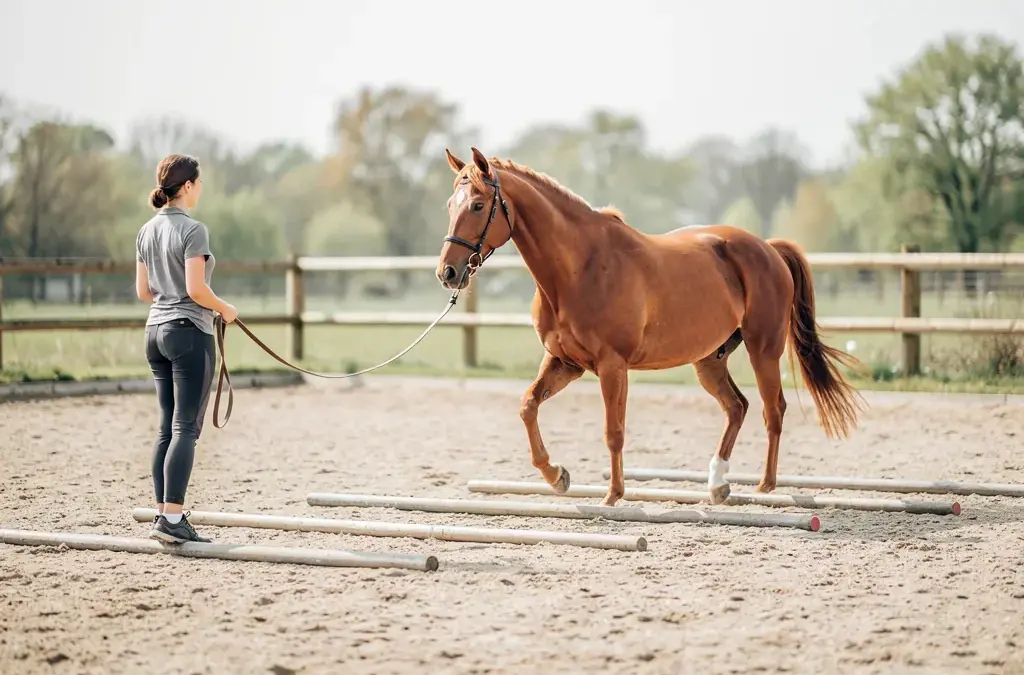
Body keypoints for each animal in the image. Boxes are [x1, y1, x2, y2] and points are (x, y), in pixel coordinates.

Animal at [436, 147, 866, 507]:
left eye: (478, 205)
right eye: (449, 205)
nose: (448, 272)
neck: (579, 267)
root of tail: (769, 248)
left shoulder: (612, 366)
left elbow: (614, 431)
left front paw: (612, 496)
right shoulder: (564, 363)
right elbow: (527, 407)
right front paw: (557, 476)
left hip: (764, 351)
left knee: (772, 411)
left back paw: (764, 487)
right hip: (710, 360)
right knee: (737, 407)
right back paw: (717, 484)